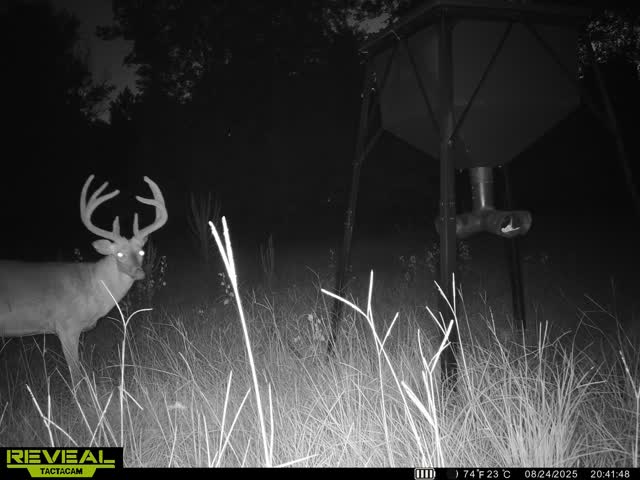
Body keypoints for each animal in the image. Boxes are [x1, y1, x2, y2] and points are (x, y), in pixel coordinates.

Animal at [0, 175, 168, 385]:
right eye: (119, 254)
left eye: (142, 252)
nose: (139, 273)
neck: (91, 288)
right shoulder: (66, 326)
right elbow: (76, 375)